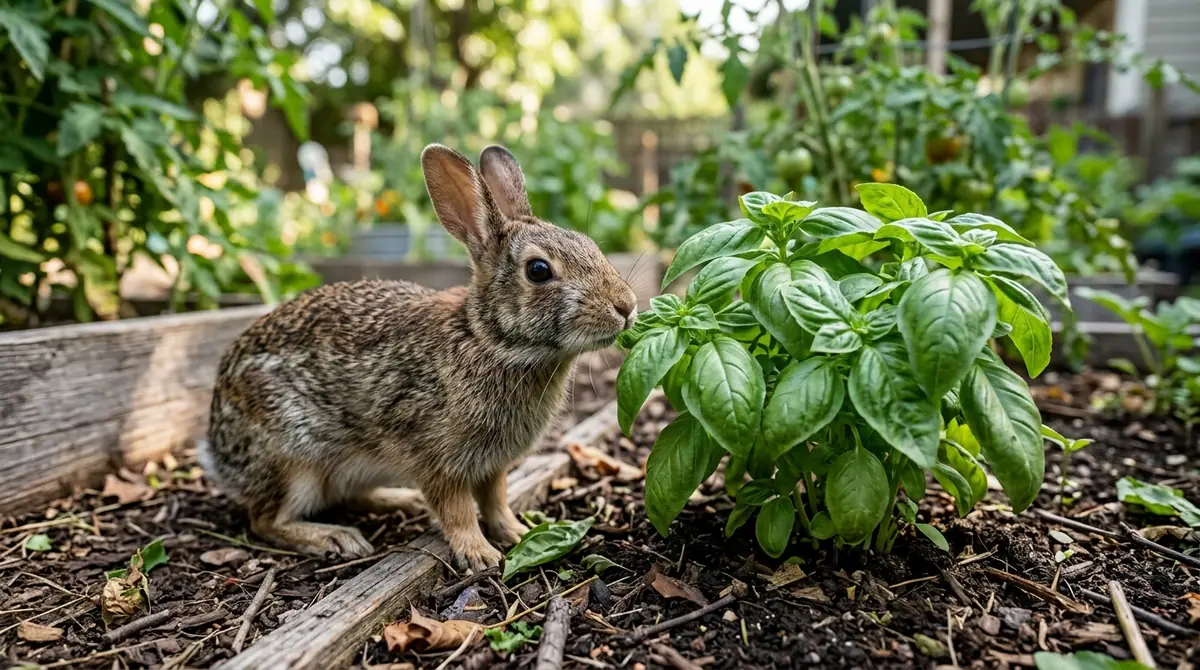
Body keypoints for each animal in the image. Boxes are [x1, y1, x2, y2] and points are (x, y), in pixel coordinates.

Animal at [200, 144, 638, 570]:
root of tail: (216, 450)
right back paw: (335, 537)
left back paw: (401, 501)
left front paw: (516, 531)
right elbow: (457, 509)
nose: (627, 306)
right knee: (265, 520)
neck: (488, 341)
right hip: (294, 460)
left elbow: (495, 499)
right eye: (539, 270)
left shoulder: (492, 464)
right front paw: (479, 554)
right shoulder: (434, 456)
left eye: (590, 244)